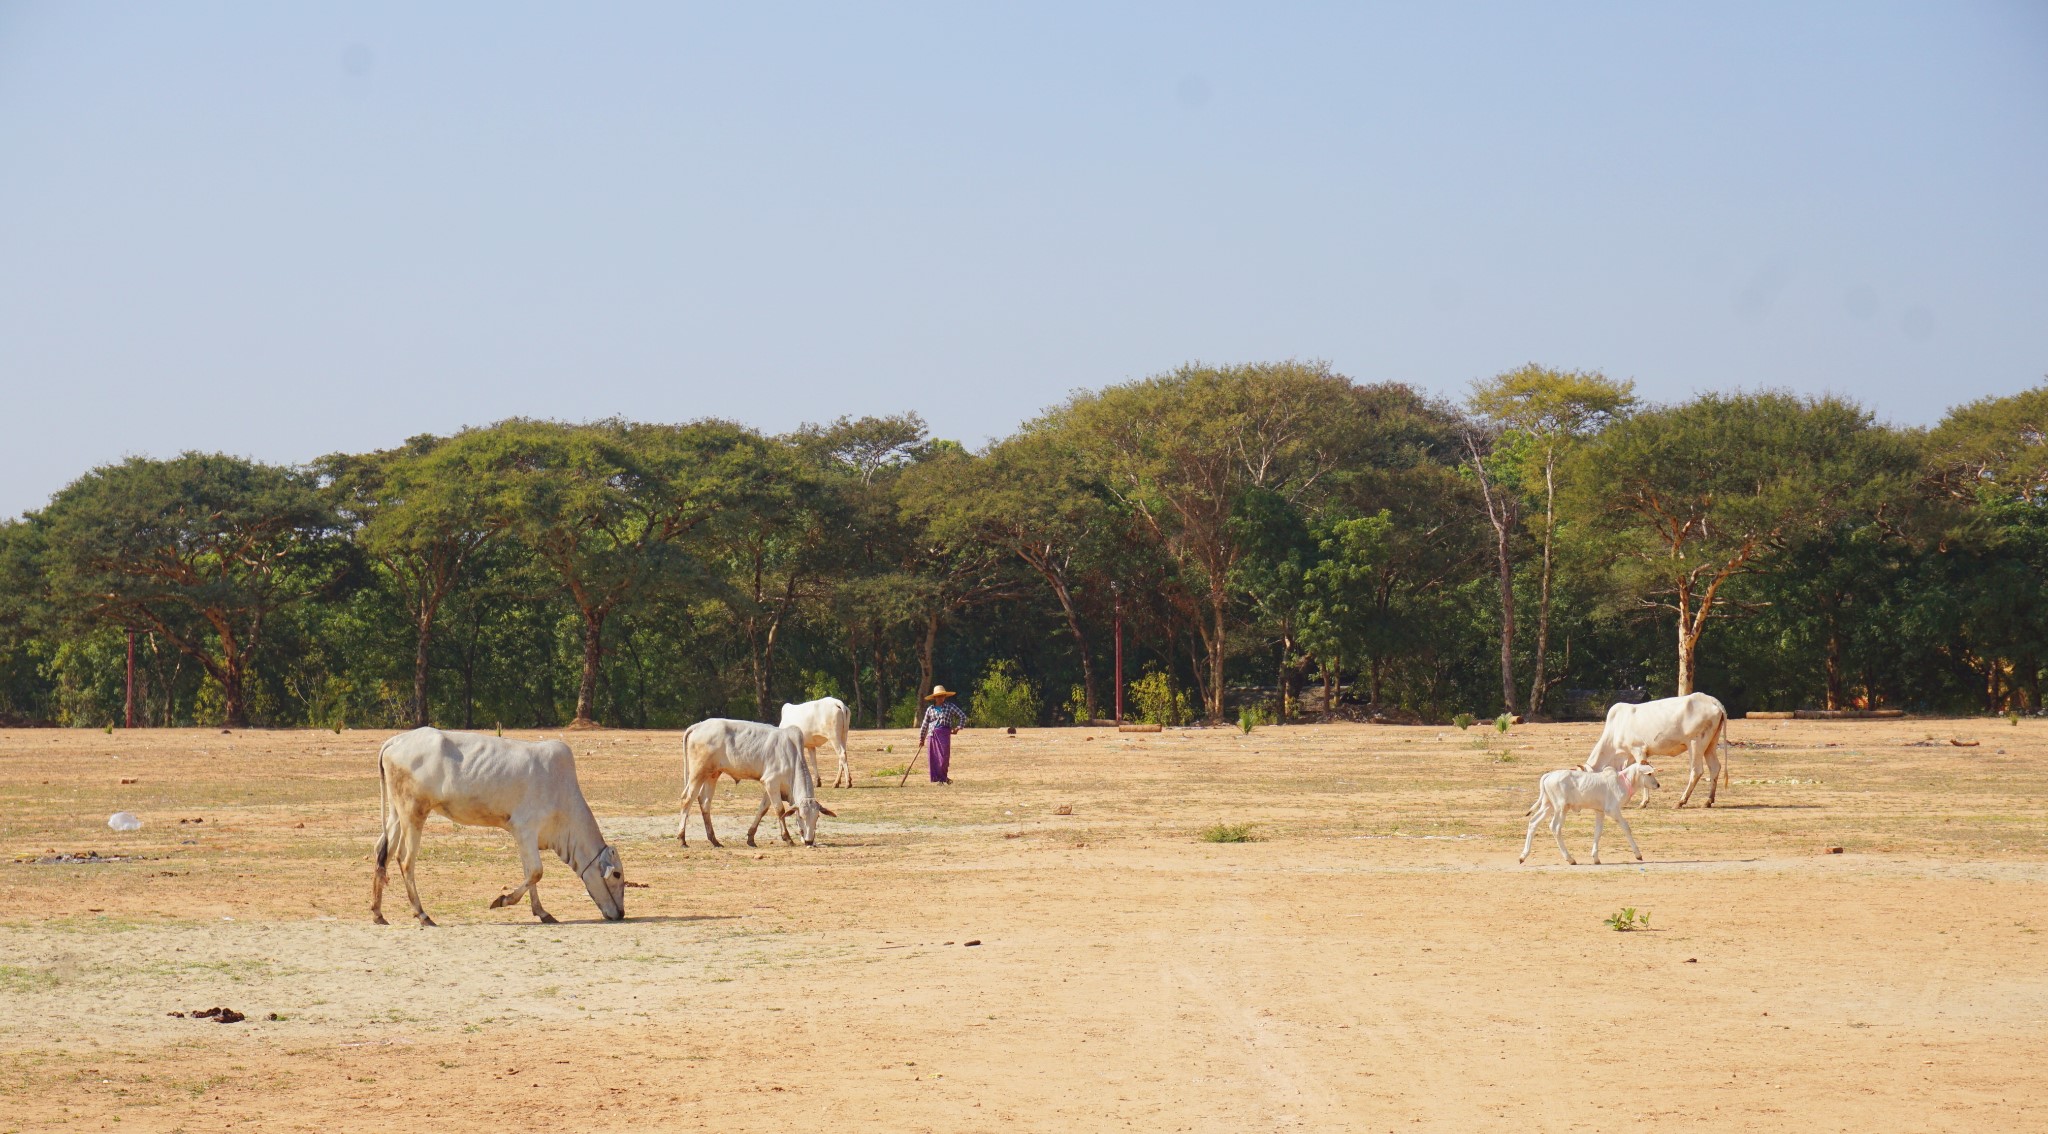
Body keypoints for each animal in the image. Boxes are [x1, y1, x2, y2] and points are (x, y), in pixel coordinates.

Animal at [368, 728, 622, 921]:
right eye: (617, 875)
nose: (620, 913)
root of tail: (395, 741)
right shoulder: (526, 829)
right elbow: (536, 872)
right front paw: (502, 900)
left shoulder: (522, 836)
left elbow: (529, 872)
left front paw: (541, 912)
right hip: (414, 813)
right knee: (405, 860)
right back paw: (422, 914)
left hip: (397, 814)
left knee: (383, 854)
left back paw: (378, 913)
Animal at [671, 720, 831, 843]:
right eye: (801, 816)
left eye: (817, 817)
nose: (809, 840)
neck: (792, 756)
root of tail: (697, 726)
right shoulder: (771, 782)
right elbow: (780, 810)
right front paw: (787, 838)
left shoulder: (771, 787)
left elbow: (763, 809)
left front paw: (750, 837)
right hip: (698, 773)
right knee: (687, 799)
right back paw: (682, 838)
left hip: (712, 774)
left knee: (704, 802)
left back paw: (714, 840)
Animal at [1523, 757, 1662, 863]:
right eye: (1650, 773)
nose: (1658, 785)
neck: (1622, 781)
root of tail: (1549, 775)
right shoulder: (1613, 810)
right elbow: (1626, 828)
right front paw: (1638, 854)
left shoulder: (1599, 812)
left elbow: (1597, 832)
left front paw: (1596, 858)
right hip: (1561, 809)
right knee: (1555, 828)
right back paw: (1570, 859)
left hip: (1548, 806)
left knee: (1533, 822)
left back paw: (1523, 856)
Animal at [1581, 687, 1728, 802]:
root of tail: (1711, 700)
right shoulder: (1630, 755)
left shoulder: (1638, 750)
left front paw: (1644, 802)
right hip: (1710, 744)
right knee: (1715, 767)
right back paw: (1708, 800)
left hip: (1695, 743)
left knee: (1696, 770)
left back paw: (1681, 801)